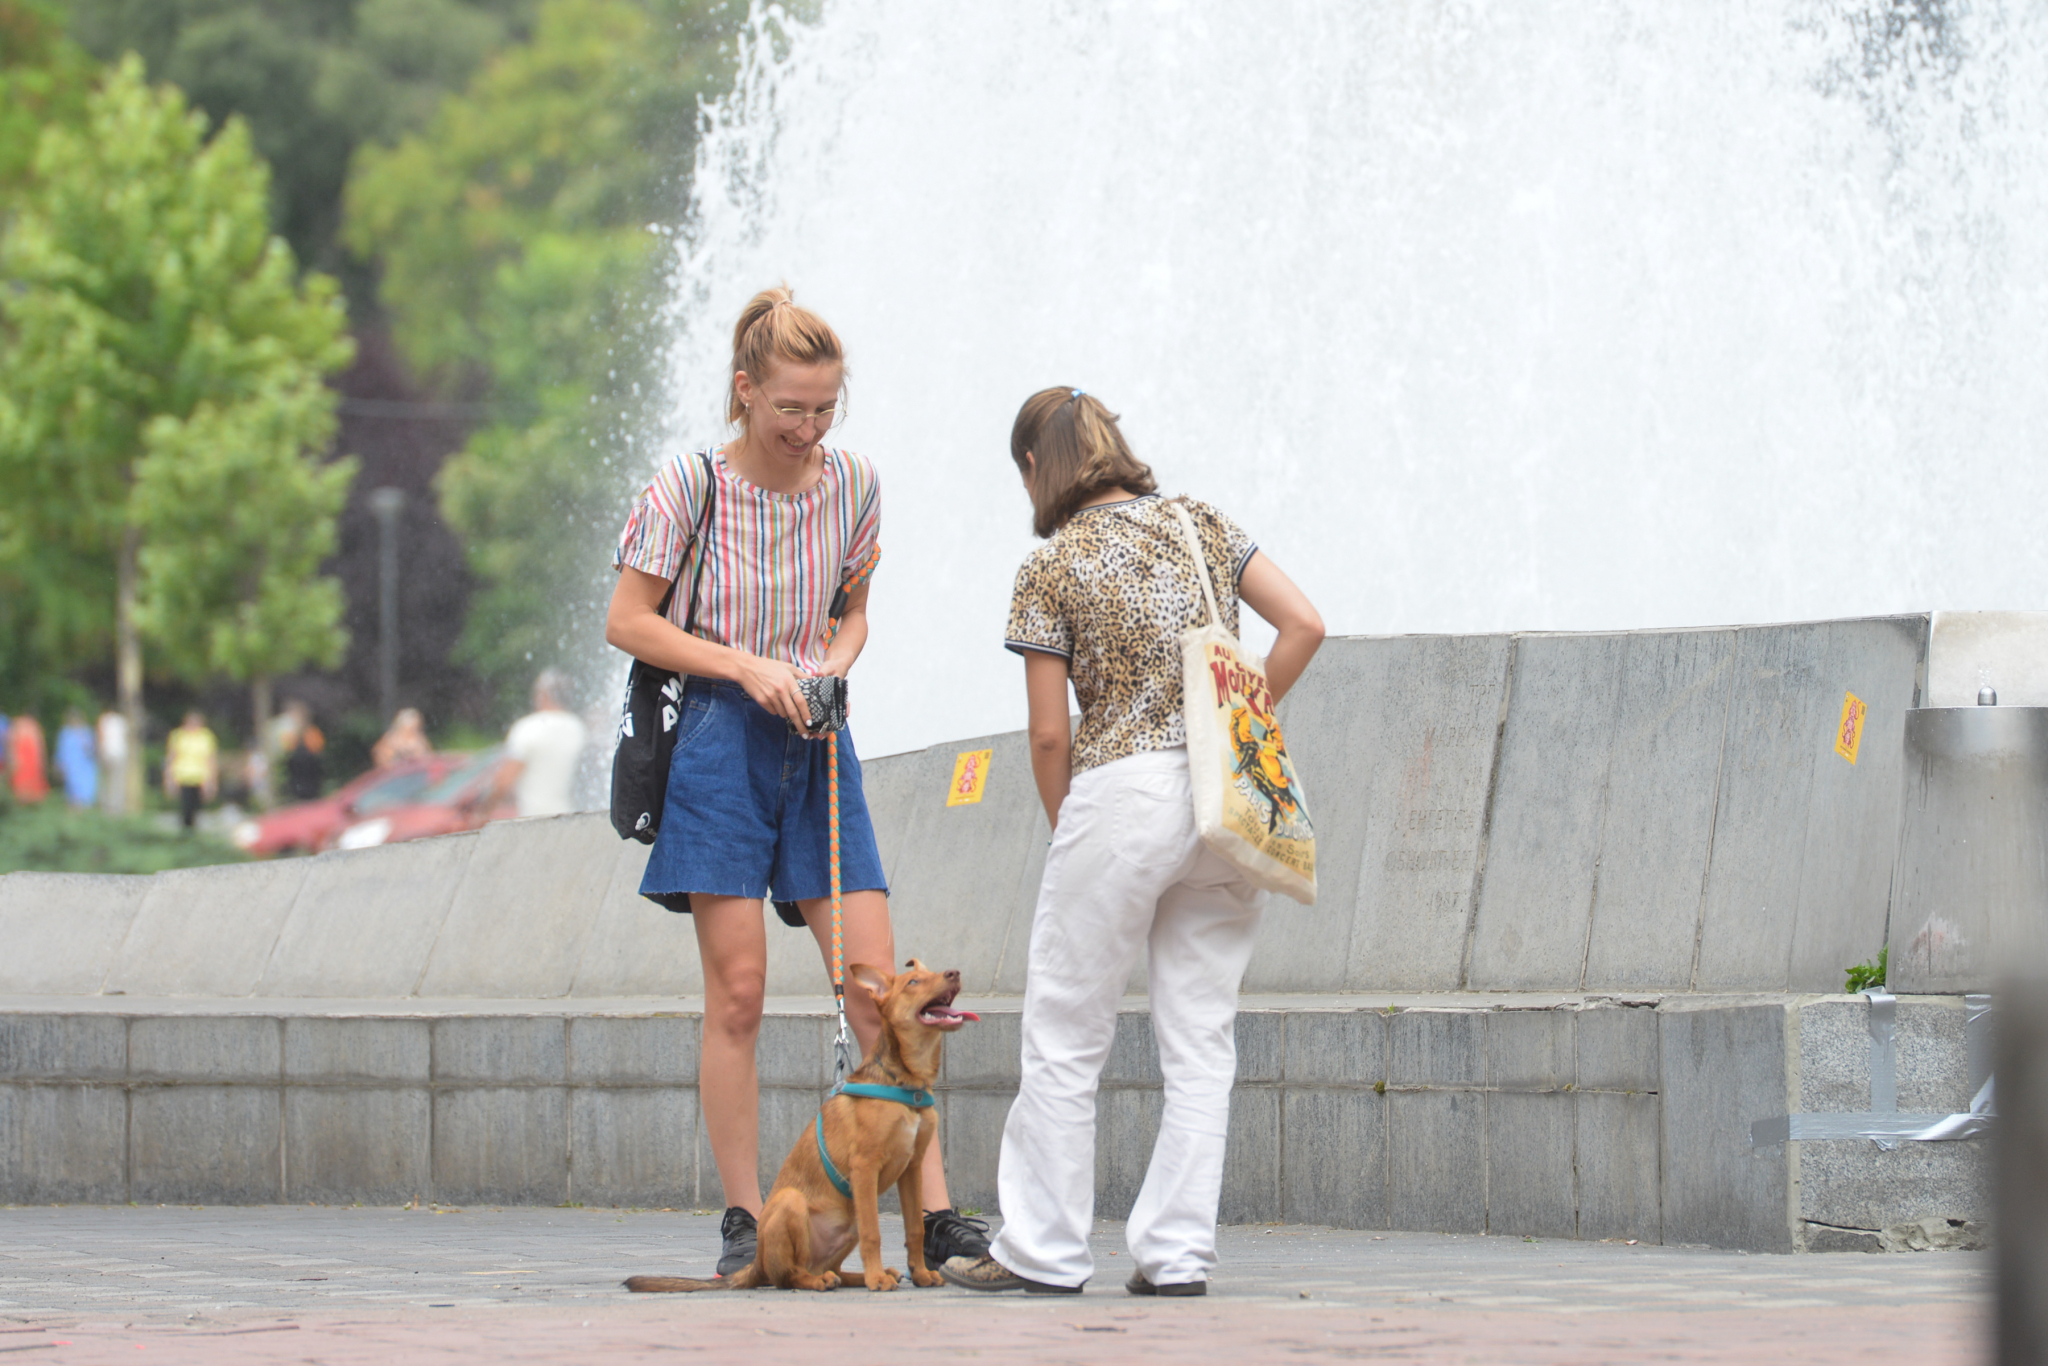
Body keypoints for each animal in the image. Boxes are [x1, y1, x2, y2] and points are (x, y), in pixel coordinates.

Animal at [622, 962, 974, 1294]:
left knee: (828, 1269)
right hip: (793, 1205)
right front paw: (877, 1280)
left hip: (848, 1222)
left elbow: (914, 1228)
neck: (903, 1080)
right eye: (913, 981)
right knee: (790, 1275)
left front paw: (921, 1275)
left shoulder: (912, 1168)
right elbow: (874, 1233)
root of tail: (757, 1262)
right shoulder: (864, 1167)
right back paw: (831, 1280)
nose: (955, 972)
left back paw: (861, 1275)